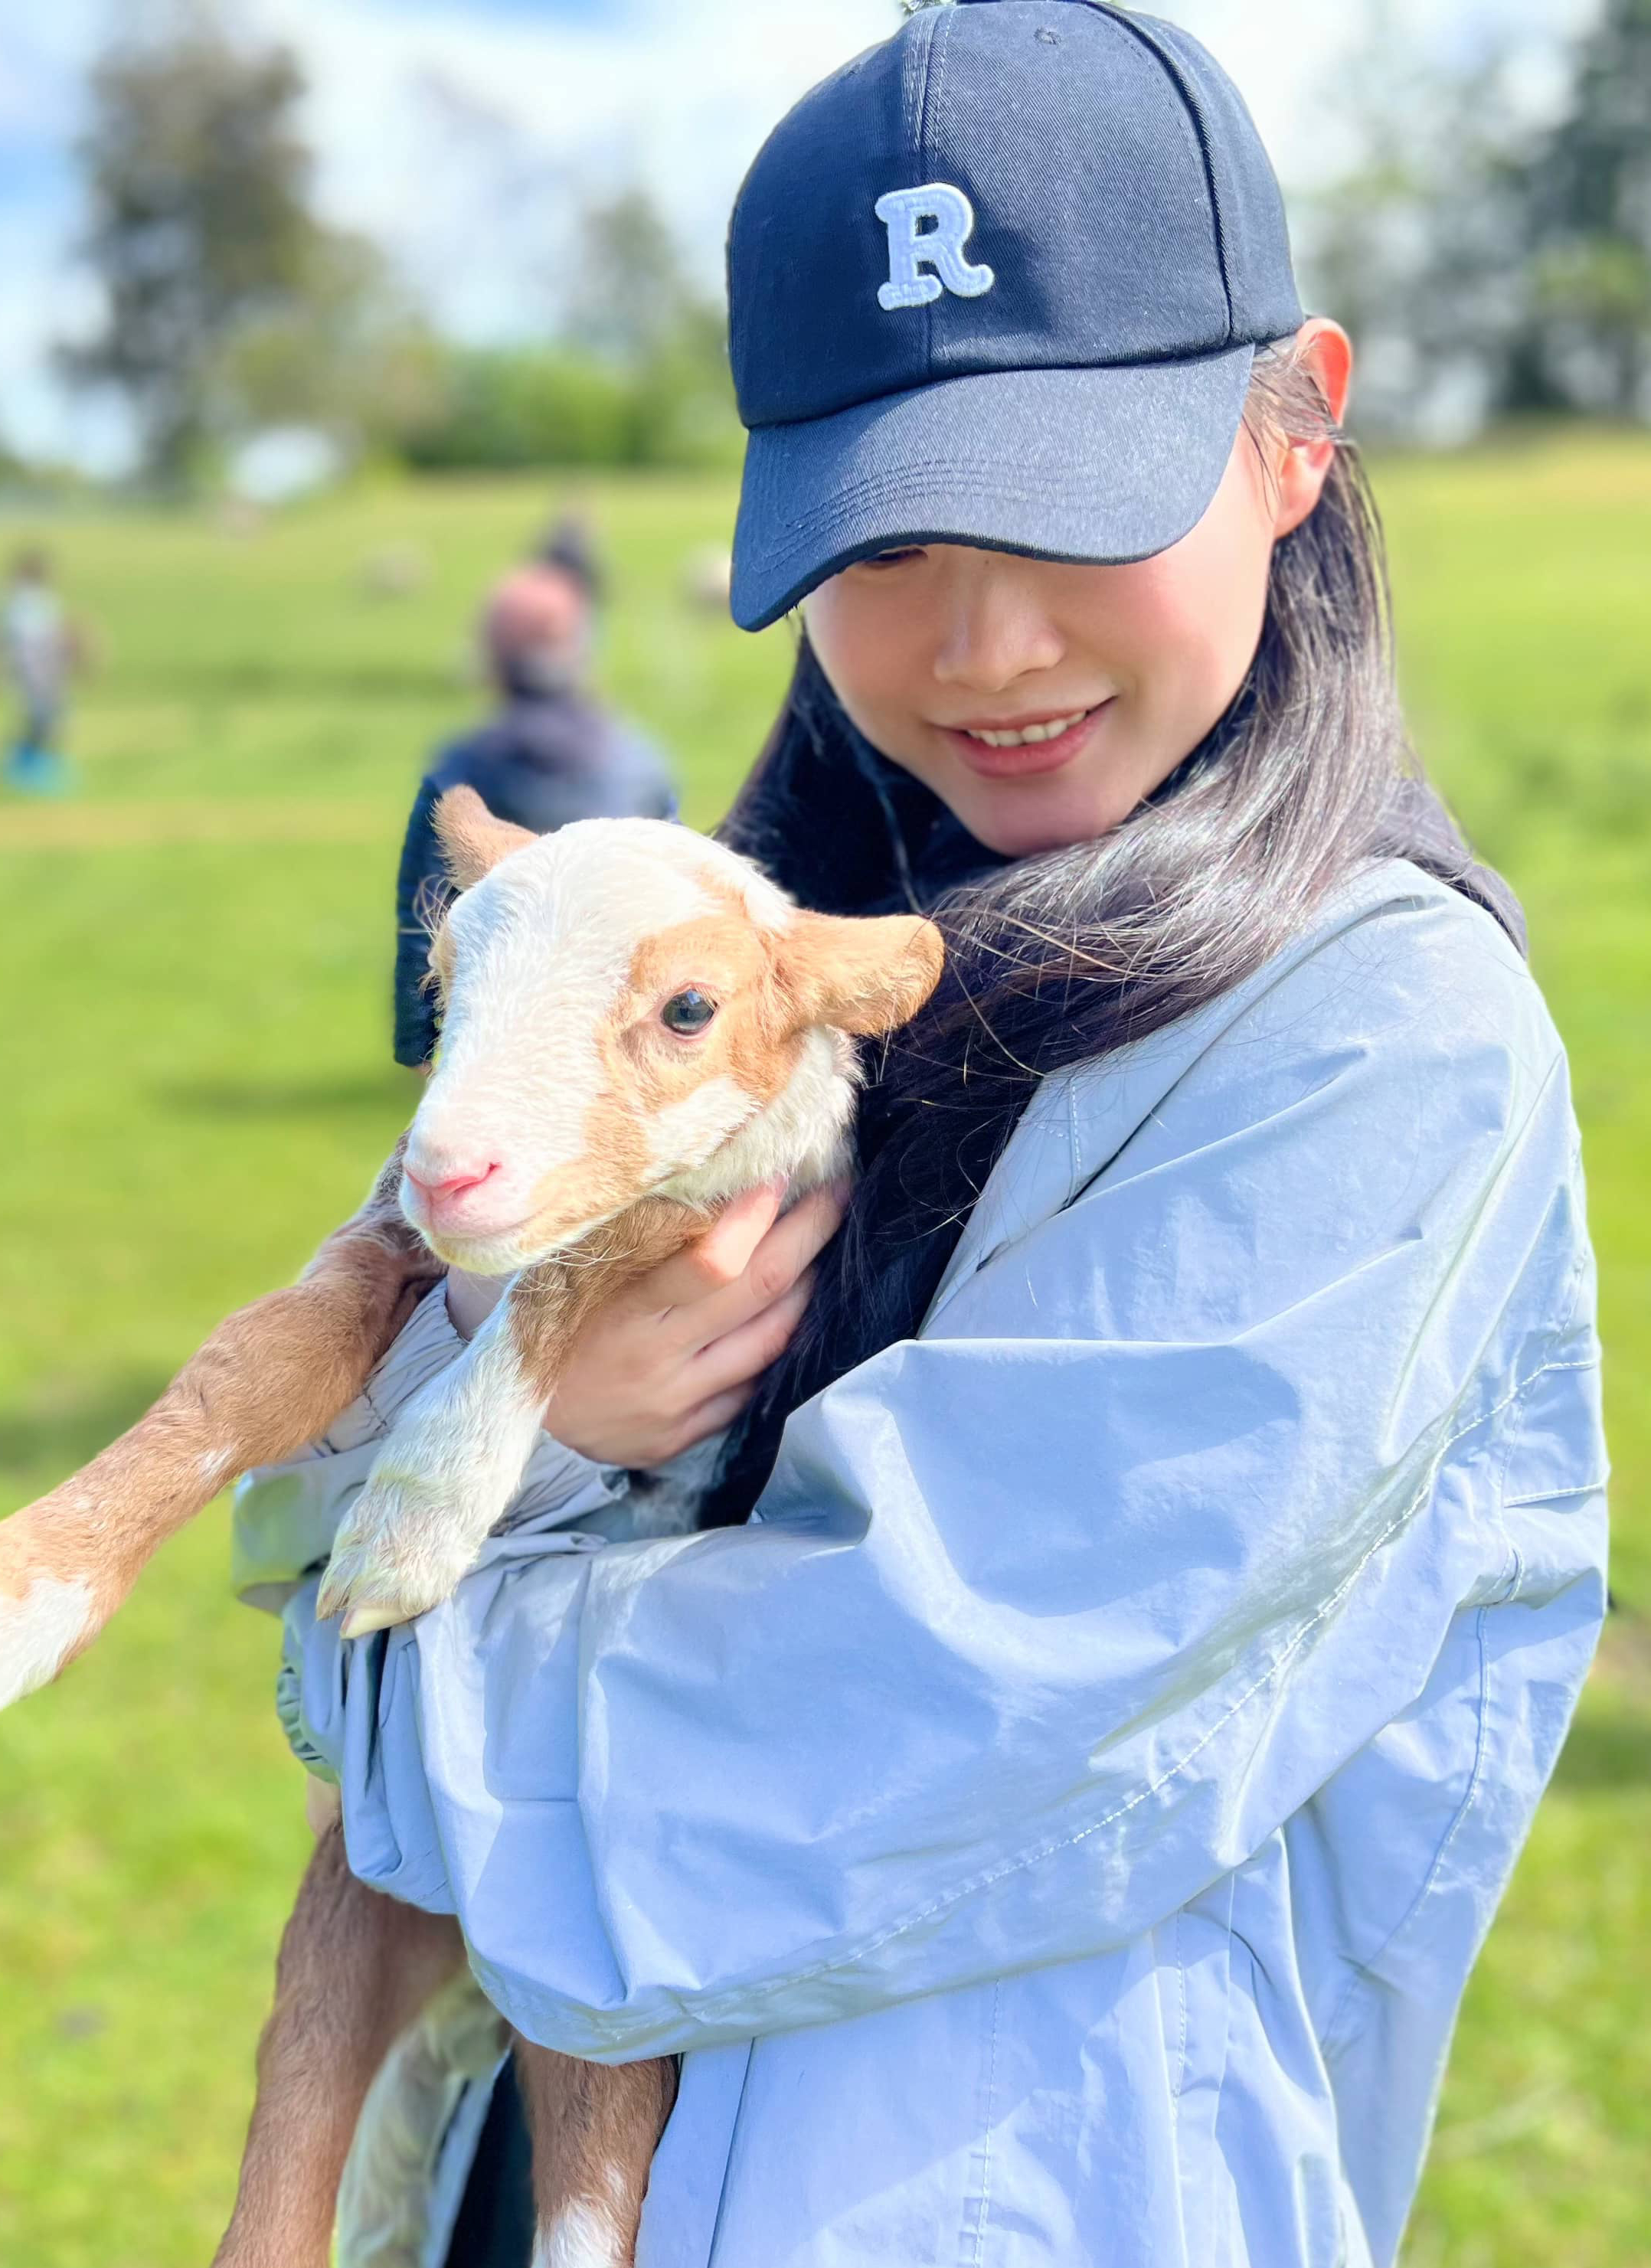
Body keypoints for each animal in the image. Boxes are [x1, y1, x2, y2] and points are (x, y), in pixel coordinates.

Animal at [1, 786, 945, 2268]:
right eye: (443, 988)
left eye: (690, 1007)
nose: (454, 1172)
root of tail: (473, 1978)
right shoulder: (385, 1223)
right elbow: (268, 1356)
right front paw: (30, 1591)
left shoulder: (741, 1193)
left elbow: (583, 1255)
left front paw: (418, 1510)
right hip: (353, 1905)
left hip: (590, 1994)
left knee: (590, 2183)